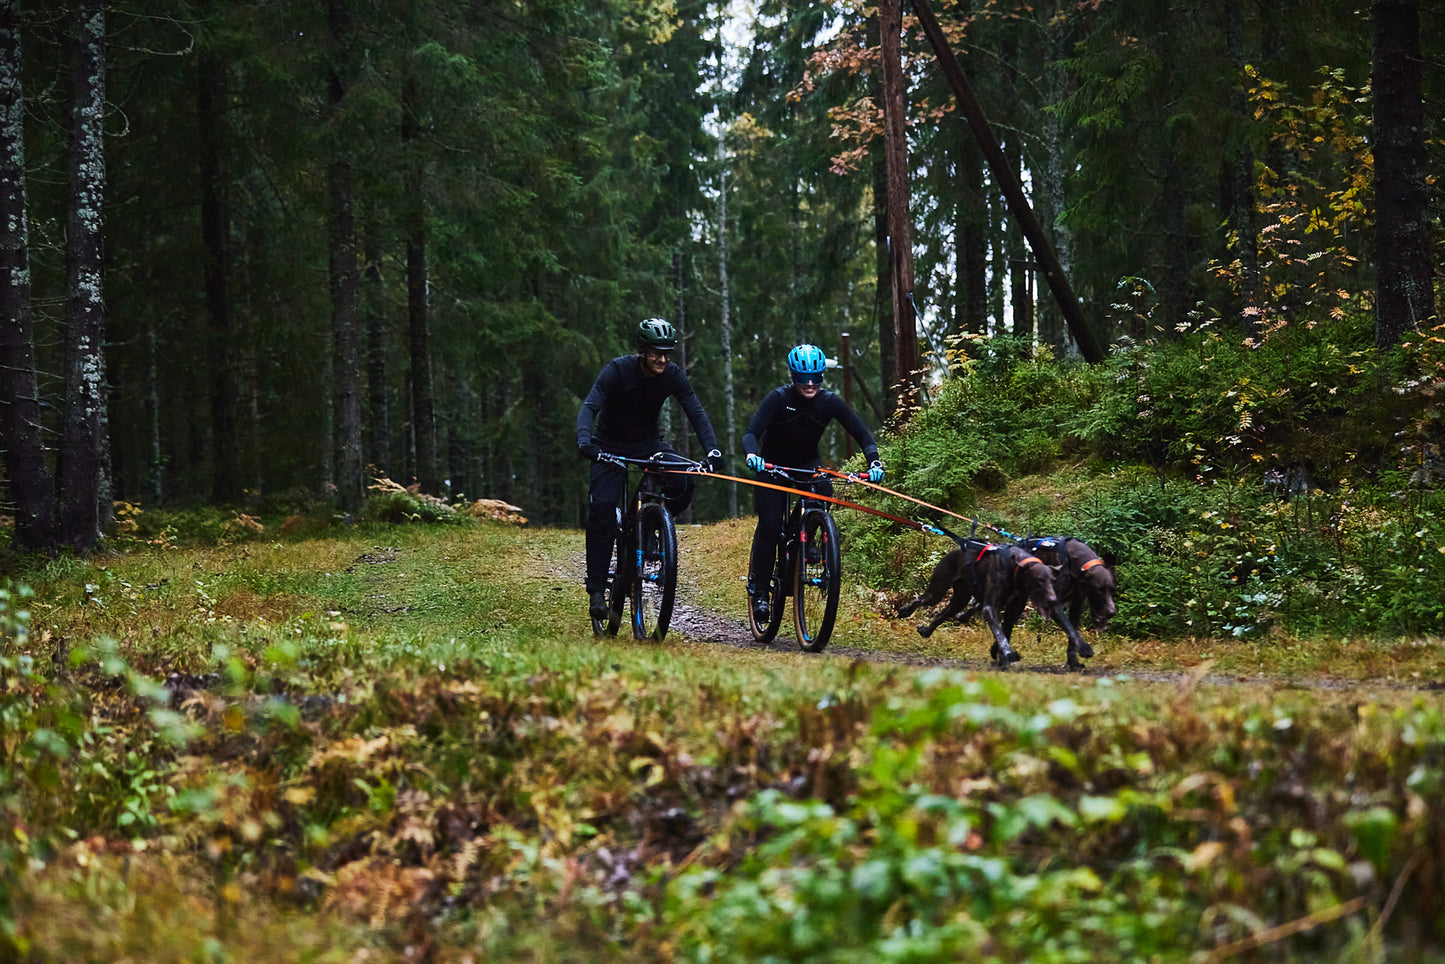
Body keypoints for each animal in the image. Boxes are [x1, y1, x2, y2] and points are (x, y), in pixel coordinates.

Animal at [890, 543, 1092, 670]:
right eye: (1039, 581)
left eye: (1052, 580)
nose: (1053, 600)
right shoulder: (990, 607)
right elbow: (1000, 633)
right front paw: (1007, 654)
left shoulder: (1014, 608)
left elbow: (1006, 631)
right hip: (937, 590)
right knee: (922, 599)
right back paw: (905, 610)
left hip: (960, 598)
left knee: (943, 613)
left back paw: (926, 630)